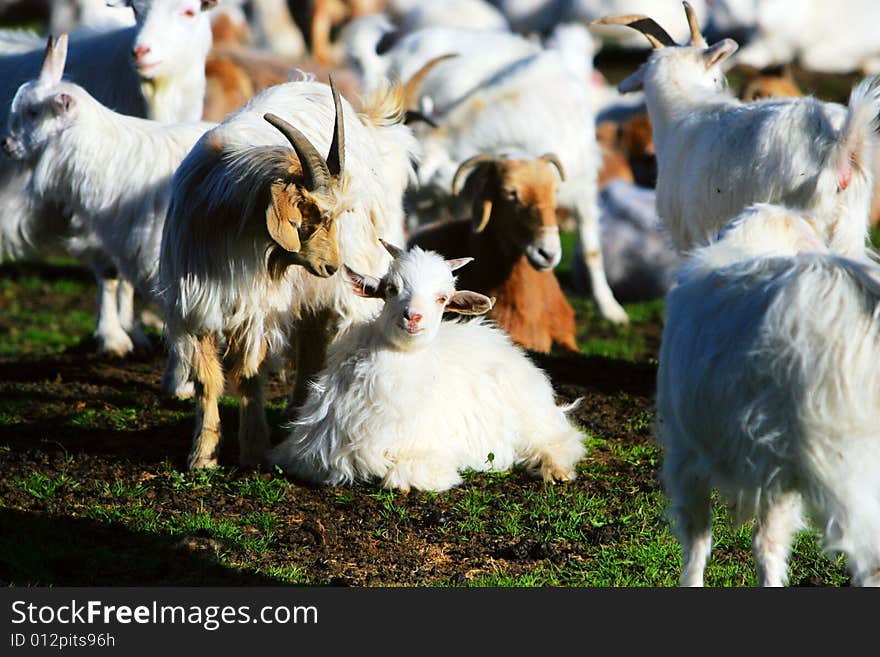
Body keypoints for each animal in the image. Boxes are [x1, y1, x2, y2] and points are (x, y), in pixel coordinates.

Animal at [159, 74, 420, 468]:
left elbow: (248, 376)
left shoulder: (255, 311)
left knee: (317, 341)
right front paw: (202, 456)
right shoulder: (196, 307)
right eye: (309, 216)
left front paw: (253, 449)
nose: (332, 266)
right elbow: (208, 380)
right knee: (310, 338)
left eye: (338, 216)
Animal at [266, 243, 584, 490]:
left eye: (442, 298)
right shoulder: (311, 454)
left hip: (532, 415)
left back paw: (557, 470)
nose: (413, 317)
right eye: (390, 289)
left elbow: (402, 477)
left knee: (562, 439)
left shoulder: (430, 451)